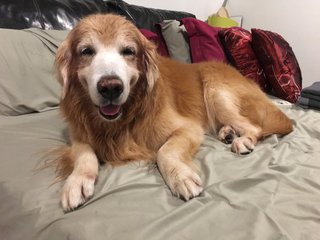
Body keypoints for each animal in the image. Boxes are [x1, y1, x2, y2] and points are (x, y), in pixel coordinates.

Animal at [54, 14, 292, 211]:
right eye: (86, 51)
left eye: (128, 51)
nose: (111, 87)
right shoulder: (78, 134)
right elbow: (84, 152)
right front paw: (76, 181)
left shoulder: (188, 128)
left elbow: (164, 151)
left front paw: (182, 177)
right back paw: (227, 133)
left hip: (215, 90)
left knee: (254, 127)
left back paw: (242, 140)